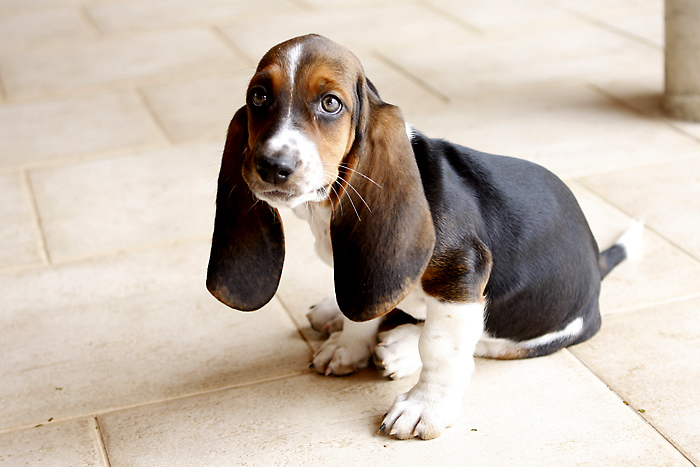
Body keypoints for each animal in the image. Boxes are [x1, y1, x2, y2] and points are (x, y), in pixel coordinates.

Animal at [205, 34, 644, 440]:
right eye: (259, 96)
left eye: (331, 103)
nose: (272, 165)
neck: (324, 207)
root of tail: (597, 261)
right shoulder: (364, 272)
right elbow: (364, 309)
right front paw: (350, 346)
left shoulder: (461, 275)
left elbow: (440, 348)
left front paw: (425, 406)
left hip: (531, 330)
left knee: (480, 341)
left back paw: (401, 349)